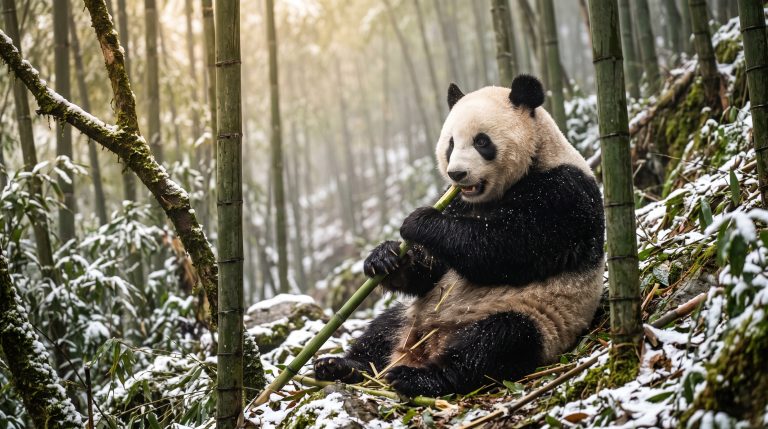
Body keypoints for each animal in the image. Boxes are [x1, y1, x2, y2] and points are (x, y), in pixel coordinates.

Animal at [314, 75, 605, 397]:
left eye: (481, 141)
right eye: (451, 143)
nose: (457, 174)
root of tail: (426, 346)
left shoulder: (563, 194)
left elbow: (506, 248)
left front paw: (419, 220)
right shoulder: (457, 200)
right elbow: (431, 271)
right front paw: (385, 256)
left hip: (535, 318)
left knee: (493, 343)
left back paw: (418, 378)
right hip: (411, 315)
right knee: (381, 330)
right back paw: (341, 366)